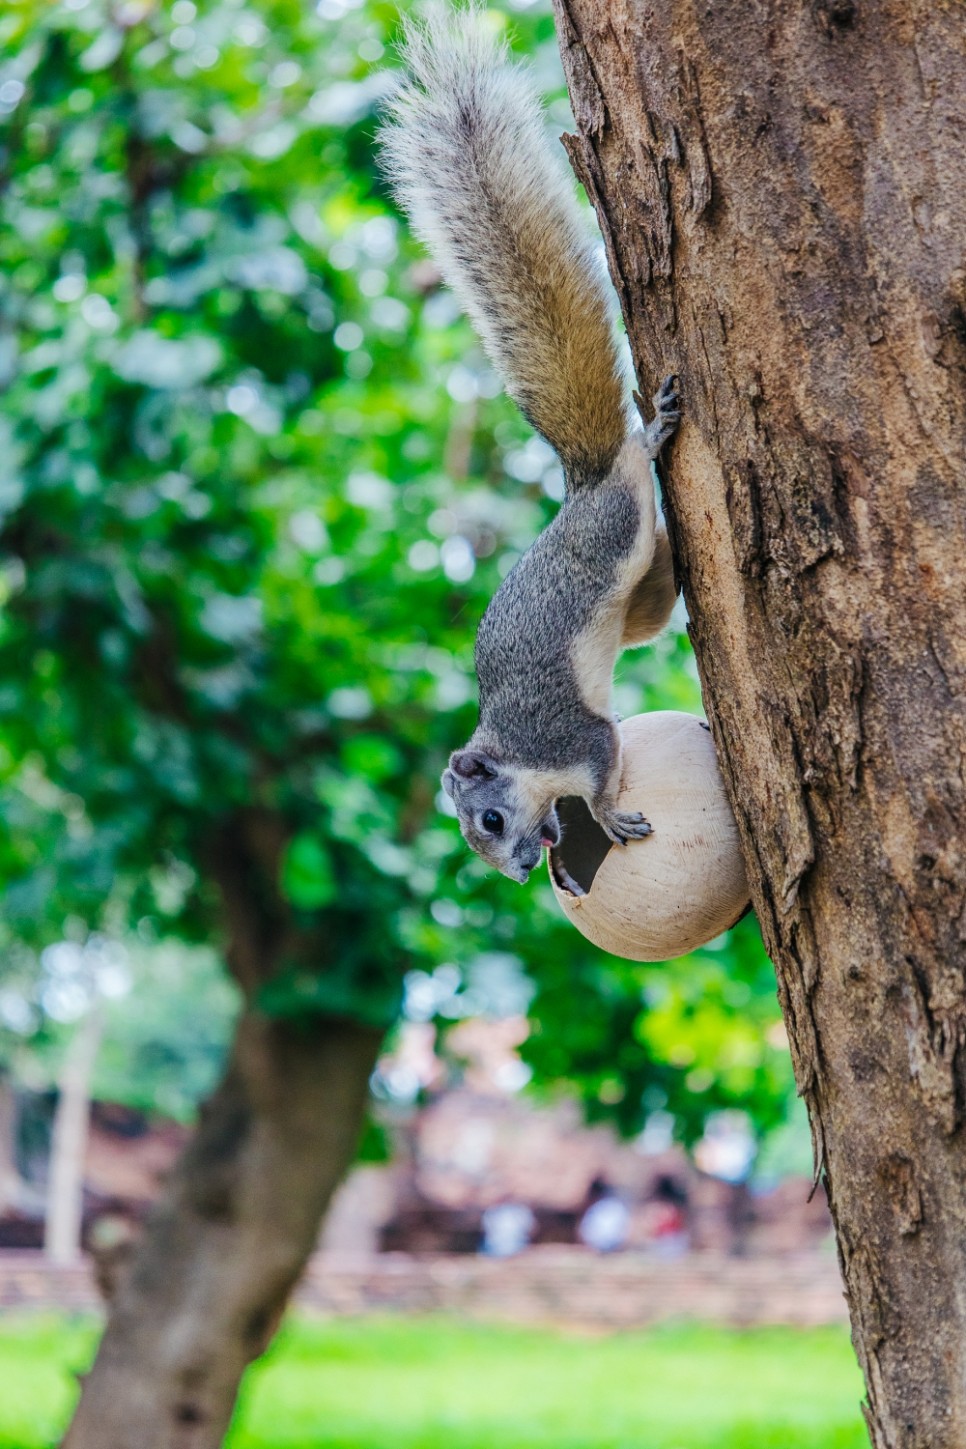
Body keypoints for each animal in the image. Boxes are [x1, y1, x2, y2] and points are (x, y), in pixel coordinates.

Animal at [379, 5, 680, 886]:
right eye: (474, 837)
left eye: (488, 817)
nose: (516, 869)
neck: (520, 756)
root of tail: (581, 485)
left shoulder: (577, 738)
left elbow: (606, 764)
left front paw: (610, 819)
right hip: (641, 593)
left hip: (613, 525)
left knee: (631, 474)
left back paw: (649, 436)